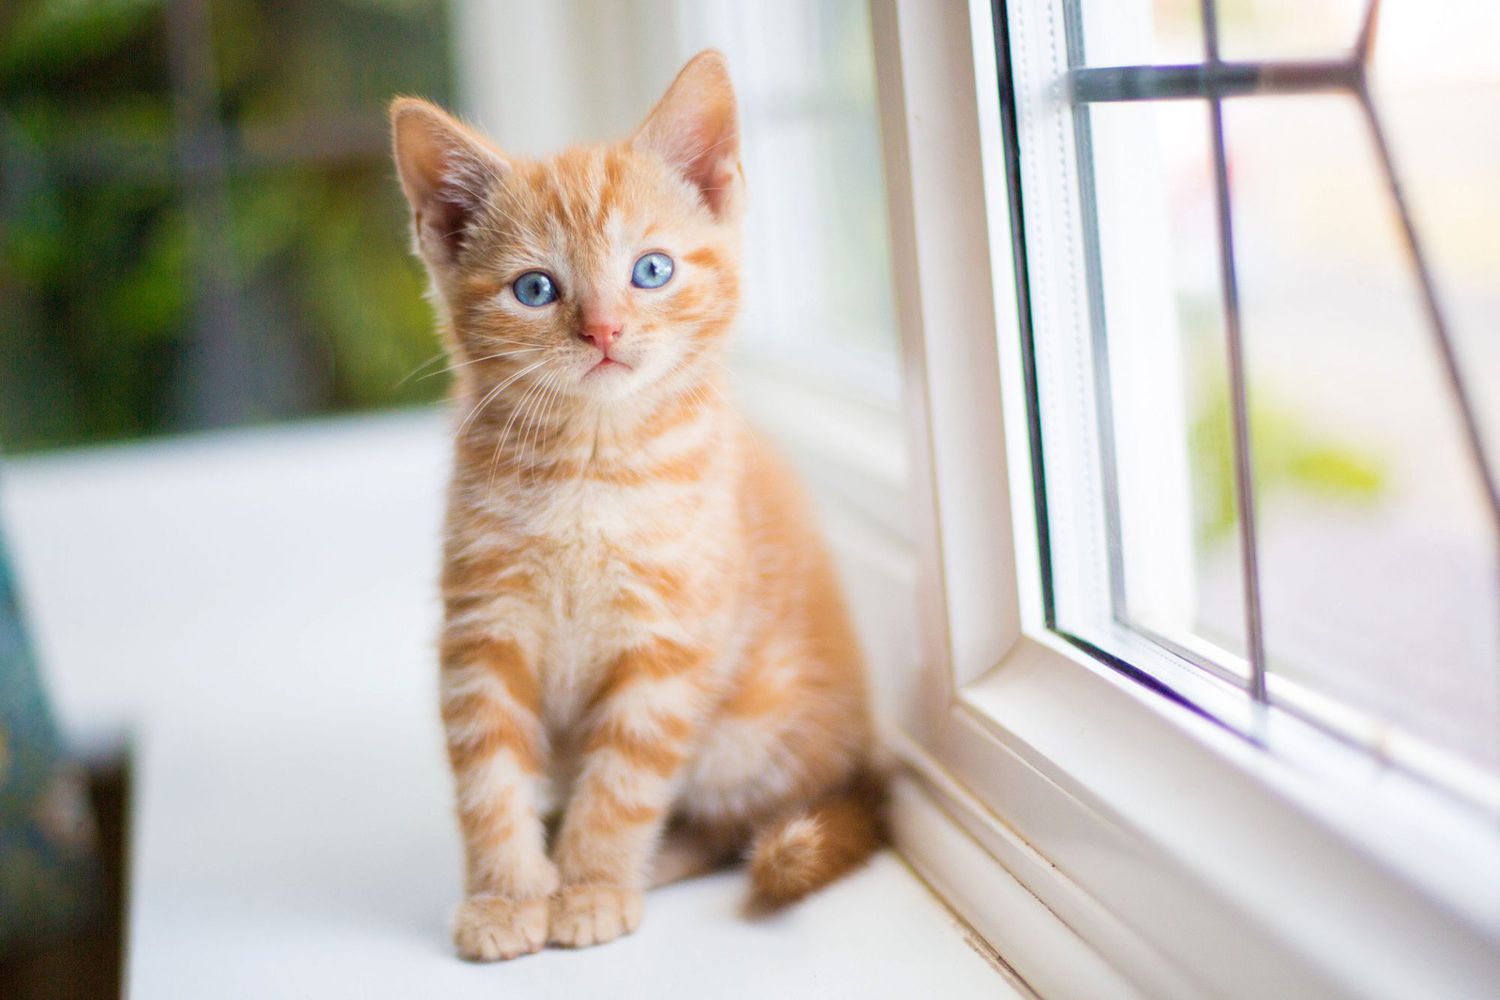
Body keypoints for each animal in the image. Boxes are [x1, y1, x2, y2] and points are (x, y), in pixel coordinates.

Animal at [390, 48, 876, 959]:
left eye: (651, 269)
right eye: (535, 289)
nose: (605, 330)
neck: (592, 465)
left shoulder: (669, 647)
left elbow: (622, 782)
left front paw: (589, 884)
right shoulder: (483, 634)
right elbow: (488, 777)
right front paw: (506, 895)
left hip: (749, 729)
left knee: (734, 826)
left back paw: (651, 861)